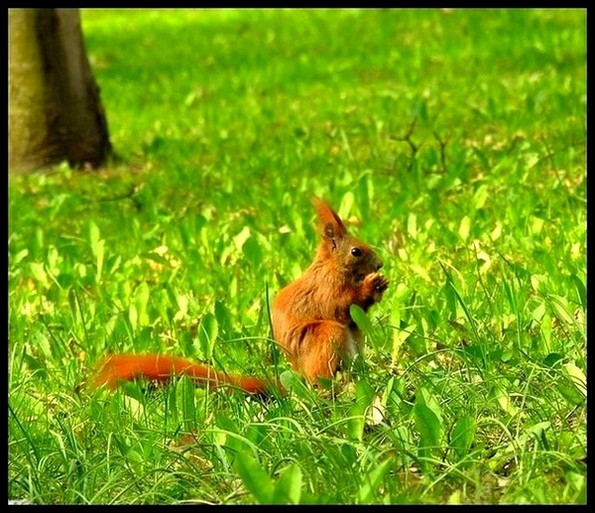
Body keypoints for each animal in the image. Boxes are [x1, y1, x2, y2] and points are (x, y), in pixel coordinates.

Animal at [93, 198, 388, 394]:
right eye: (356, 252)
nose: (380, 264)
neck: (333, 266)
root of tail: (299, 378)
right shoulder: (327, 288)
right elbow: (340, 305)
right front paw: (371, 285)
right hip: (325, 337)